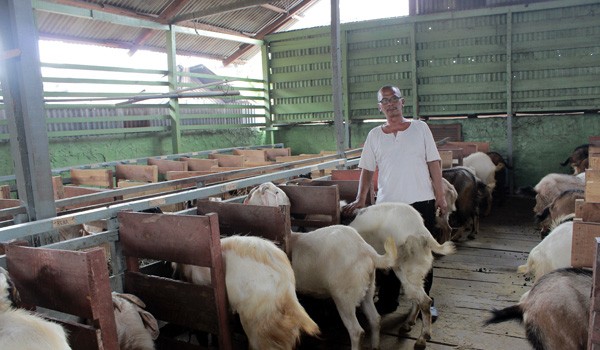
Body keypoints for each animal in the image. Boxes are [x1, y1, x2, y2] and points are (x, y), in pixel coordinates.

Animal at [346, 202, 454, 348]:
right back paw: (408, 324)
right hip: (408, 271)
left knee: (425, 300)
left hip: (406, 268)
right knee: (416, 297)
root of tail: (423, 233)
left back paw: (422, 338)